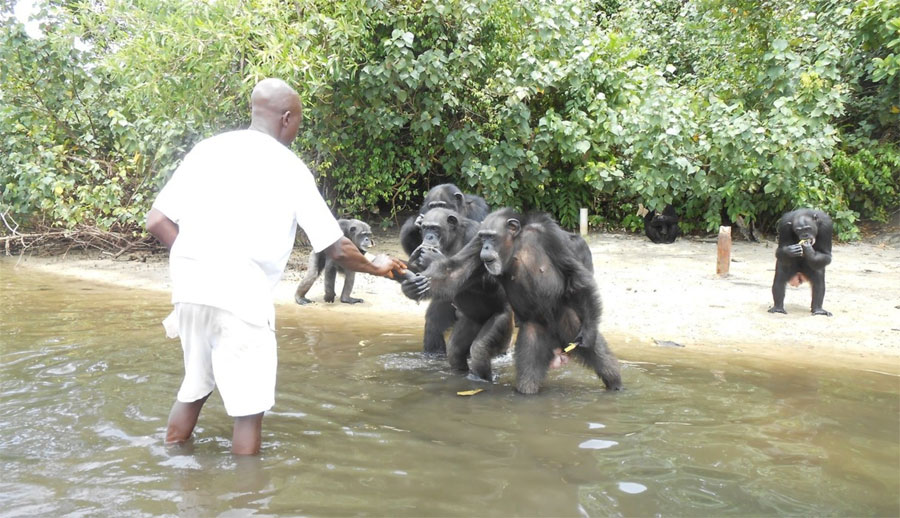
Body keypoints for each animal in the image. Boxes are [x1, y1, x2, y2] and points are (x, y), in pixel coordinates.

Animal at [404, 209, 624, 396]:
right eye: (484, 237)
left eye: (492, 236)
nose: (486, 246)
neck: (515, 245)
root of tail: (558, 345)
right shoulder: (475, 244)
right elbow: (455, 271)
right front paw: (413, 284)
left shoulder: (551, 236)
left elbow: (575, 276)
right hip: (531, 334)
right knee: (526, 376)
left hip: (564, 322)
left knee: (602, 360)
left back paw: (616, 385)